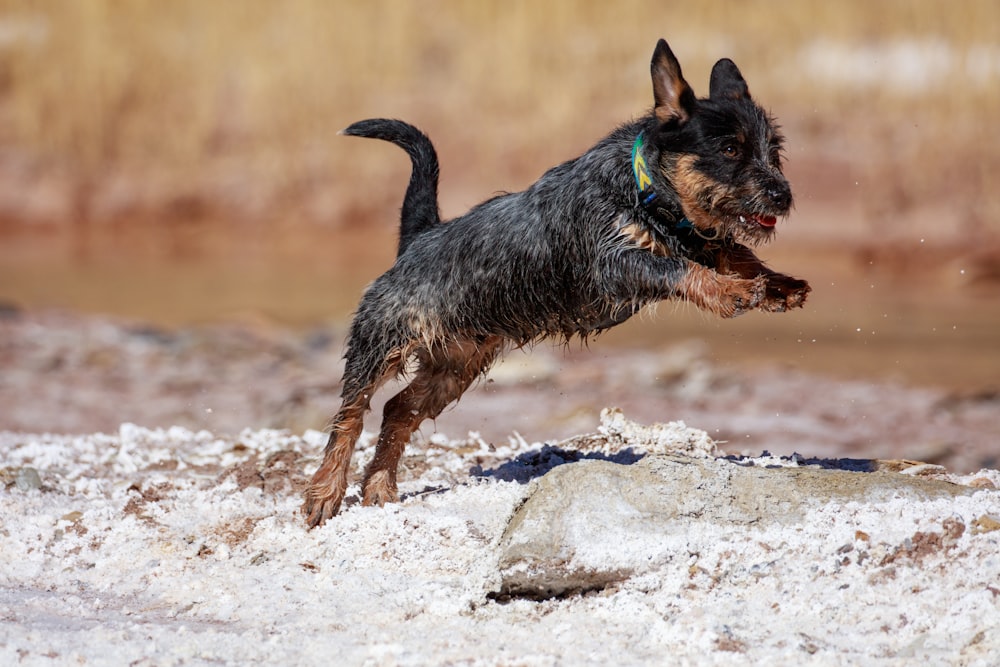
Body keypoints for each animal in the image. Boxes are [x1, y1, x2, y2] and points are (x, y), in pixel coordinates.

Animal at [300, 37, 808, 528]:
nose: (783, 194)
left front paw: (777, 284)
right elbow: (683, 269)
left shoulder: (695, 237)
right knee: (349, 418)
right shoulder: (614, 262)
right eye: (729, 149)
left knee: (398, 411)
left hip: (455, 366)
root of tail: (418, 239)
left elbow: (734, 251)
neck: (644, 188)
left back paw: (379, 486)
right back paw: (325, 493)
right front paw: (731, 291)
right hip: (380, 344)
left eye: (774, 150)